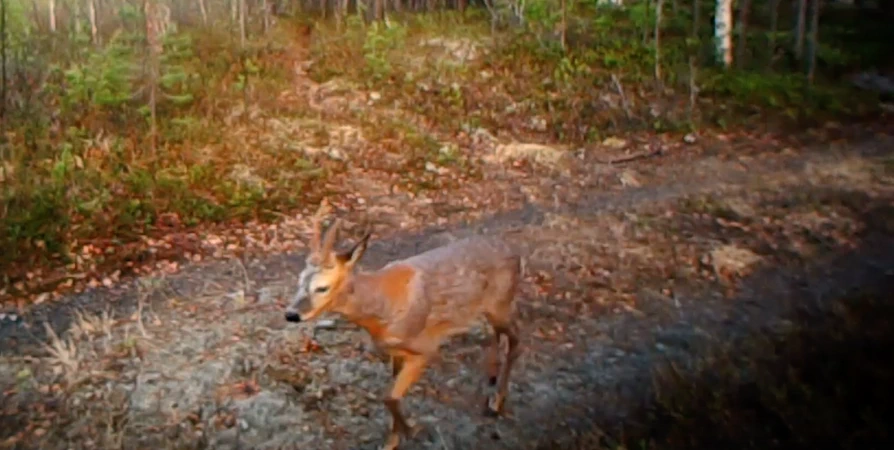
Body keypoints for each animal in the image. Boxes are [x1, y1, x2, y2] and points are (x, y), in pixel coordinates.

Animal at [288, 201, 524, 450]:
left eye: (322, 287)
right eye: (299, 281)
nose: (291, 314)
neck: (383, 308)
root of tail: (516, 254)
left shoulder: (426, 348)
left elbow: (389, 397)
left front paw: (411, 429)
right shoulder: (396, 352)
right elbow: (392, 396)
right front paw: (392, 442)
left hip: (500, 305)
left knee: (517, 340)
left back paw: (496, 403)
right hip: (492, 309)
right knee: (499, 336)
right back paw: (491, 381)